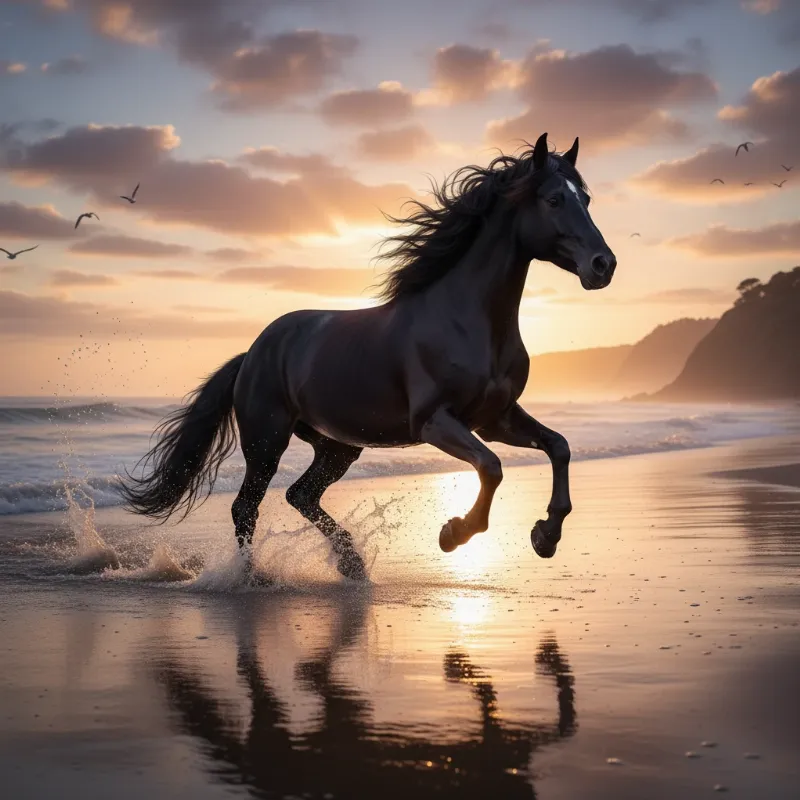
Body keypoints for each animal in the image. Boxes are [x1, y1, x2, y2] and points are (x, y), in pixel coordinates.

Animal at [121, 132, 617, 581]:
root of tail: (254, 352)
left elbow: (559, 446)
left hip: (338, 445)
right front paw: (453, 533)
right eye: (553, 200)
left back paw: (351, 563)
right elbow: (491, 468)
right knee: (247, 506)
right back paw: (250, 577)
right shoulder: (436, 421)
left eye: (587, 198)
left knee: (300, 495)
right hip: (266, 441)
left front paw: (545, 536)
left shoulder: (495, 419)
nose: (603, 265)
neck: (467, 321)